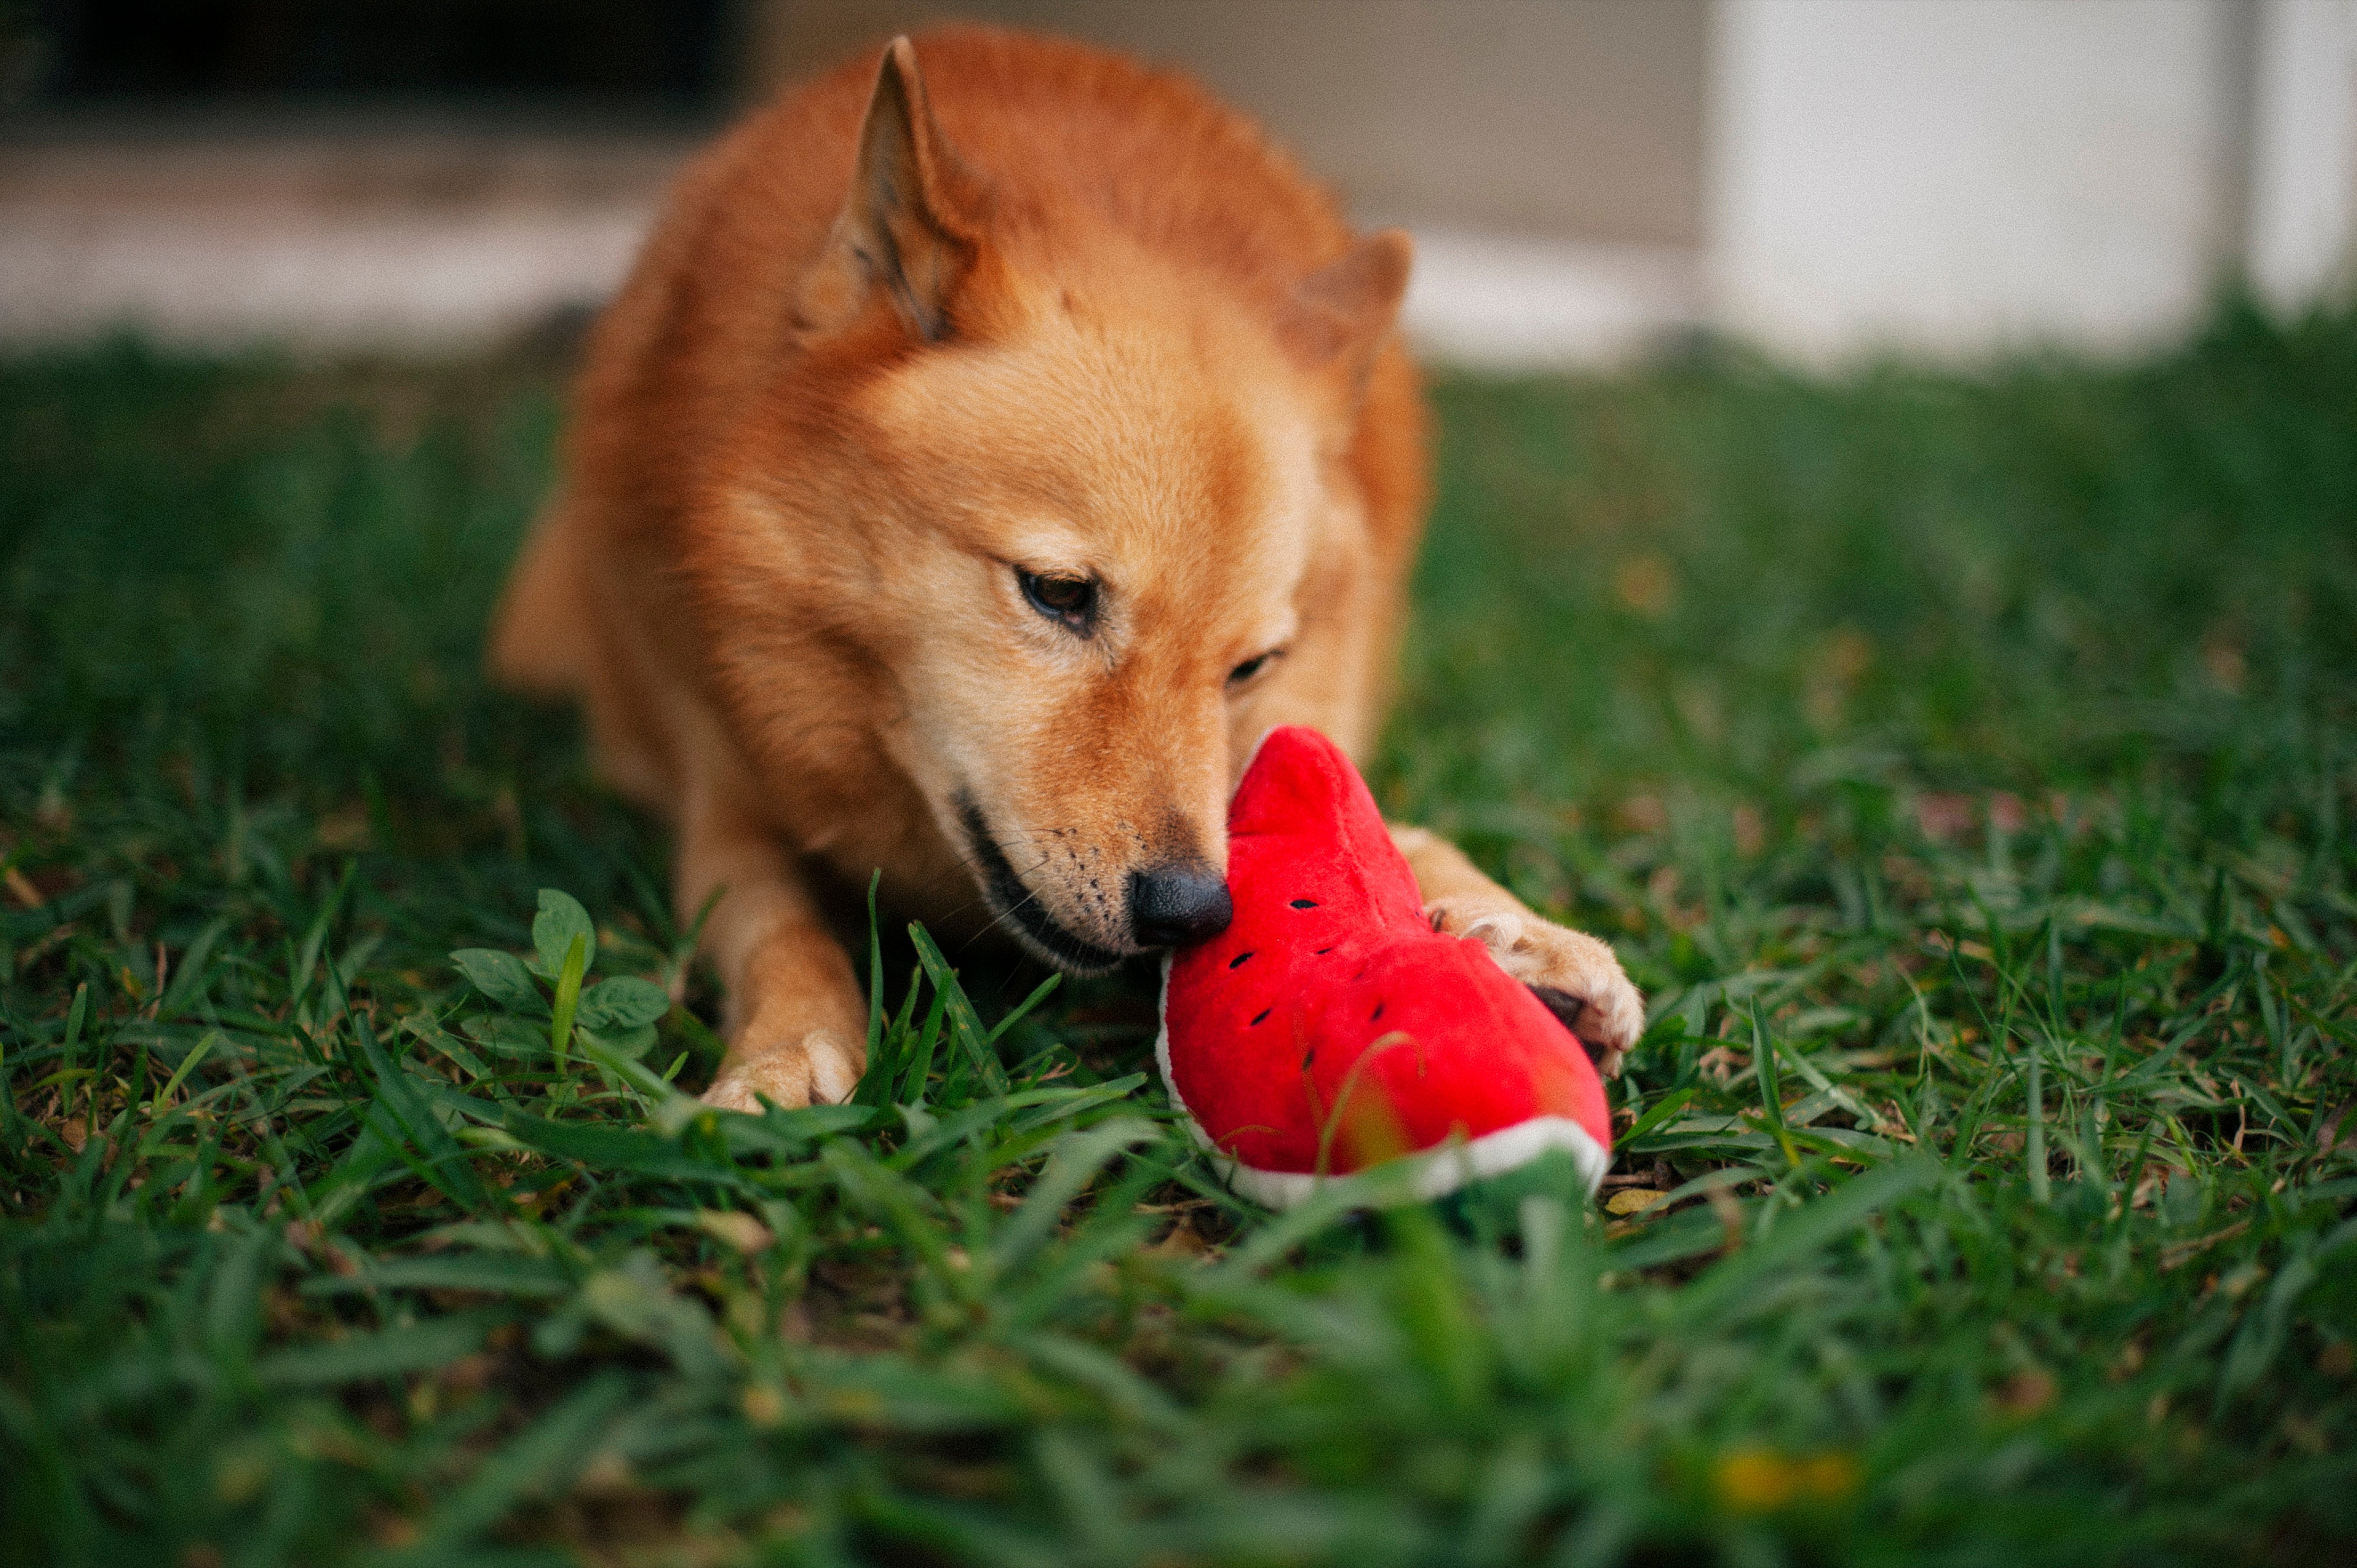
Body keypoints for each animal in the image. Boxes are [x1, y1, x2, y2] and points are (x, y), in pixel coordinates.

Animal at [493, 18, 1640, 1108]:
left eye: (1249, 667)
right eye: (1058, 595)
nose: (1191, 912)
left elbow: (1369, 819)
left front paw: (1509, 928)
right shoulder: (721, 805)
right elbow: (781, 930)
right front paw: (789, 1050)